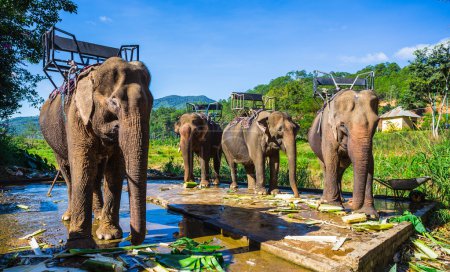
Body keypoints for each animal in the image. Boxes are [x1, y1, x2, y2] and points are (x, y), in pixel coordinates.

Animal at [40, 57, 153, 249]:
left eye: (152, 102)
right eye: (113, 102)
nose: (131, 240)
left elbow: (116, 169)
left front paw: (108, 236)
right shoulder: (76, 115)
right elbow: (82, 167)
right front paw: (79, 245)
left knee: (96, 174)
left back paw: (98, 215)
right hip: (54, 142)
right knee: (68, 172)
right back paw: (68, 216)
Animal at [308, 90, 378, 218]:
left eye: (376, 123)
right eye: (343, 125)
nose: (352, 206)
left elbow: (370, 161)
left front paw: (370, 214)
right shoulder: (328, 130)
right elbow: (331, 158)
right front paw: (332, 206)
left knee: (340, 170)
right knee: (326, 167)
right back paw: (328, 200)